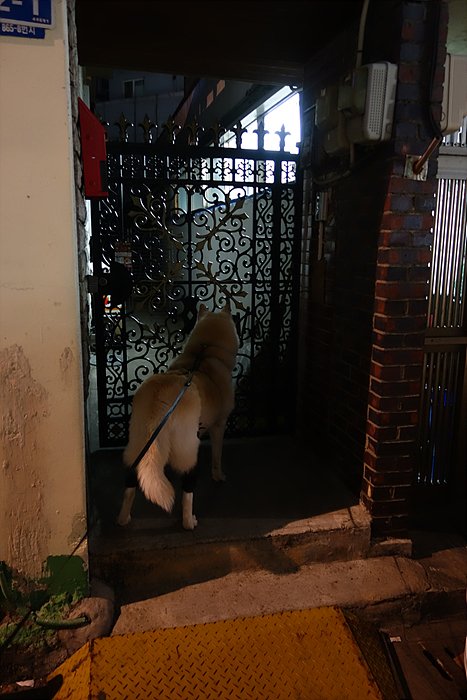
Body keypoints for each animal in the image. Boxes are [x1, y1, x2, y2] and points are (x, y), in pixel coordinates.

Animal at [117, 301, 239, 530]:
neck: (205, 351)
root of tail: (160, 399)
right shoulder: (219, 425)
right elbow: (217, 456)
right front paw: (218, 475)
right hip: (188, 447)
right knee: (188, 489)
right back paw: (189, 521)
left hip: (138, 443)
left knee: (130, 481)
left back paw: (123, 518)